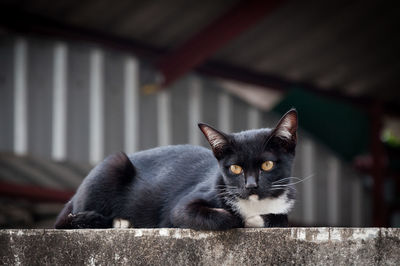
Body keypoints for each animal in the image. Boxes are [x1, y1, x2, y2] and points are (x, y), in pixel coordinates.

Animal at [54, 109, 296, 230]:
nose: (251, 185)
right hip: (113, 164)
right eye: (235, 168)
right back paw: (117, 221)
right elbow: (220, 217)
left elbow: (282, 218)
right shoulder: (180, 208)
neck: (256, 204)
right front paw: (243, 219)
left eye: (267, 165)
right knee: (62, 223)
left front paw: (260, 219)